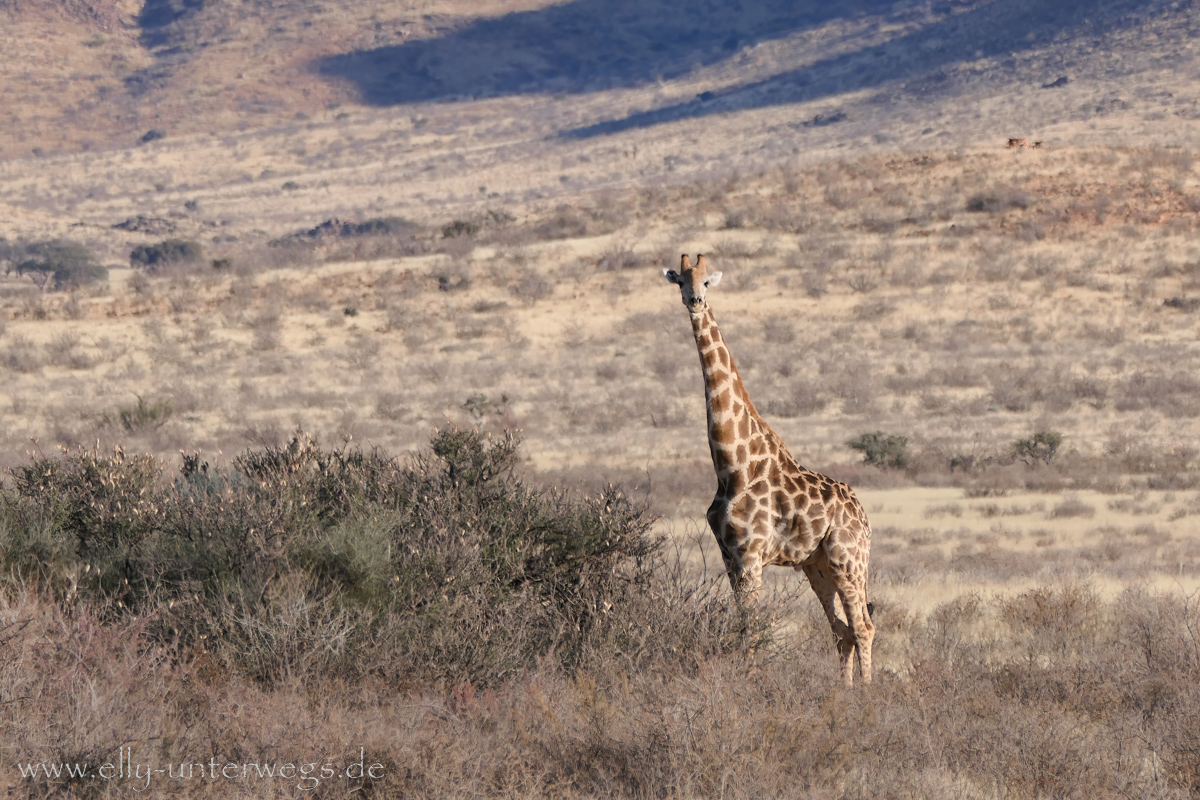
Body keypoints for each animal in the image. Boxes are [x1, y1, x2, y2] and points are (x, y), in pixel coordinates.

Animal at [662, 253, 878, 686]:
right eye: (680, 280)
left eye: (707, 281)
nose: (694, 301)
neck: (732, 466)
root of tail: (863, 516)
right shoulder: (729, 557)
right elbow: (742, 625)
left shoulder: (751, 555)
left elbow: (752, 628)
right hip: (817, 566)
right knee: (841, 630)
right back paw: (845, 693)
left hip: (849, 558)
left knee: (864, 626)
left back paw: (868, 694)